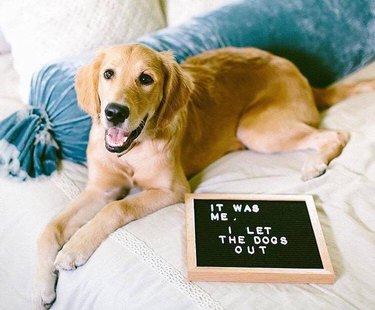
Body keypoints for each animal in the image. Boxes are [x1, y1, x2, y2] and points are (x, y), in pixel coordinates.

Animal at [33, 43, 375, 308]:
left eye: (145, 79)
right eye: (108, 74)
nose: (114, 112)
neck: (131, 153)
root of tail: (298, 72)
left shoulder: (172, 189)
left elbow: (117, 208)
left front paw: (75, 248)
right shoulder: (99, 189)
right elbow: (50, 227)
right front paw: (41, 289)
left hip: (256, 129)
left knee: (337, 134)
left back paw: (314, 164)